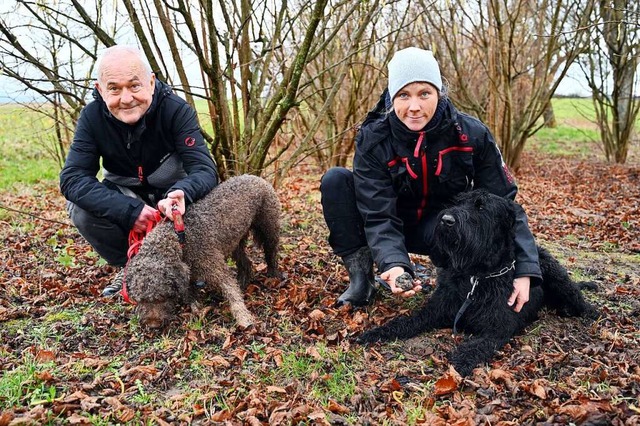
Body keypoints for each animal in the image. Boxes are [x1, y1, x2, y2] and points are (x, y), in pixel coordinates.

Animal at [125, 175, 280, 328]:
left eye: (161, 296)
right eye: (140, 299)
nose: (153, 326)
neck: (180, 237)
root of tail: (254, 176)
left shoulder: (215, 267)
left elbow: (231, 292)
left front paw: (243, 317)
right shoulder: (188, 272)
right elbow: (190, 291)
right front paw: (195, 307)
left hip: (269, 228)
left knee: (271, 253)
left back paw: (273, 275)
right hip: (236, 241)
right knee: (246, 263)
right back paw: (243, 281)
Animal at [358, 190, 596, 376]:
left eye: (481, 208)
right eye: (459, 202)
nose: (446, 220)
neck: (476, 275)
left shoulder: (497, 330)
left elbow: (474, 347)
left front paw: (458, 362)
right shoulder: (435, 311)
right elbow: (405, 321)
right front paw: (376, 333)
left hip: (557, 277)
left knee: (578, 297)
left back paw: (588, 312)